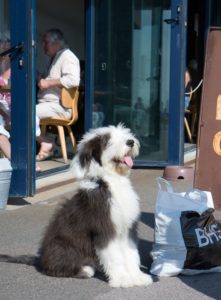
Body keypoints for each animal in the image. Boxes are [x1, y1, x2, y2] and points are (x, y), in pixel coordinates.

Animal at [0, 125, 152, 288]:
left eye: (125, 133)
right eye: (107, 140)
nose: (130, 142)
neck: (112, 181)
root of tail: (40, 259)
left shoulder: (128, 228)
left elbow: (131, 254)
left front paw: (138, 277)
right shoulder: (105, 228)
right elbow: (114, 256)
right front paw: (123, 279)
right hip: (63, 248)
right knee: (55, 269)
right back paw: (85, 270)